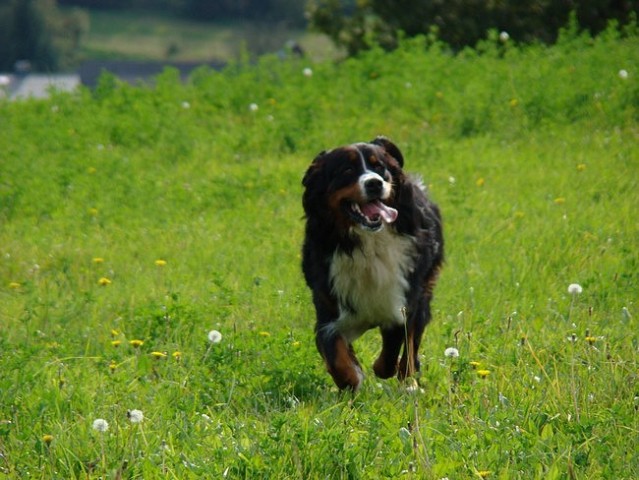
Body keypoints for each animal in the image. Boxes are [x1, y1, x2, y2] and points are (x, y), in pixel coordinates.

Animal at [302, 135, 442, 390]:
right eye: (347, 170)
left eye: (380, 168)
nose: (375, 183)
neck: (367, 243)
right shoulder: (329, 305)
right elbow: (335, 352)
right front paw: (351, 378)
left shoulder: (402, 298)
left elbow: (395, 342)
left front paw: (380, 369)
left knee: (411, 345)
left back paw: (408, 382)